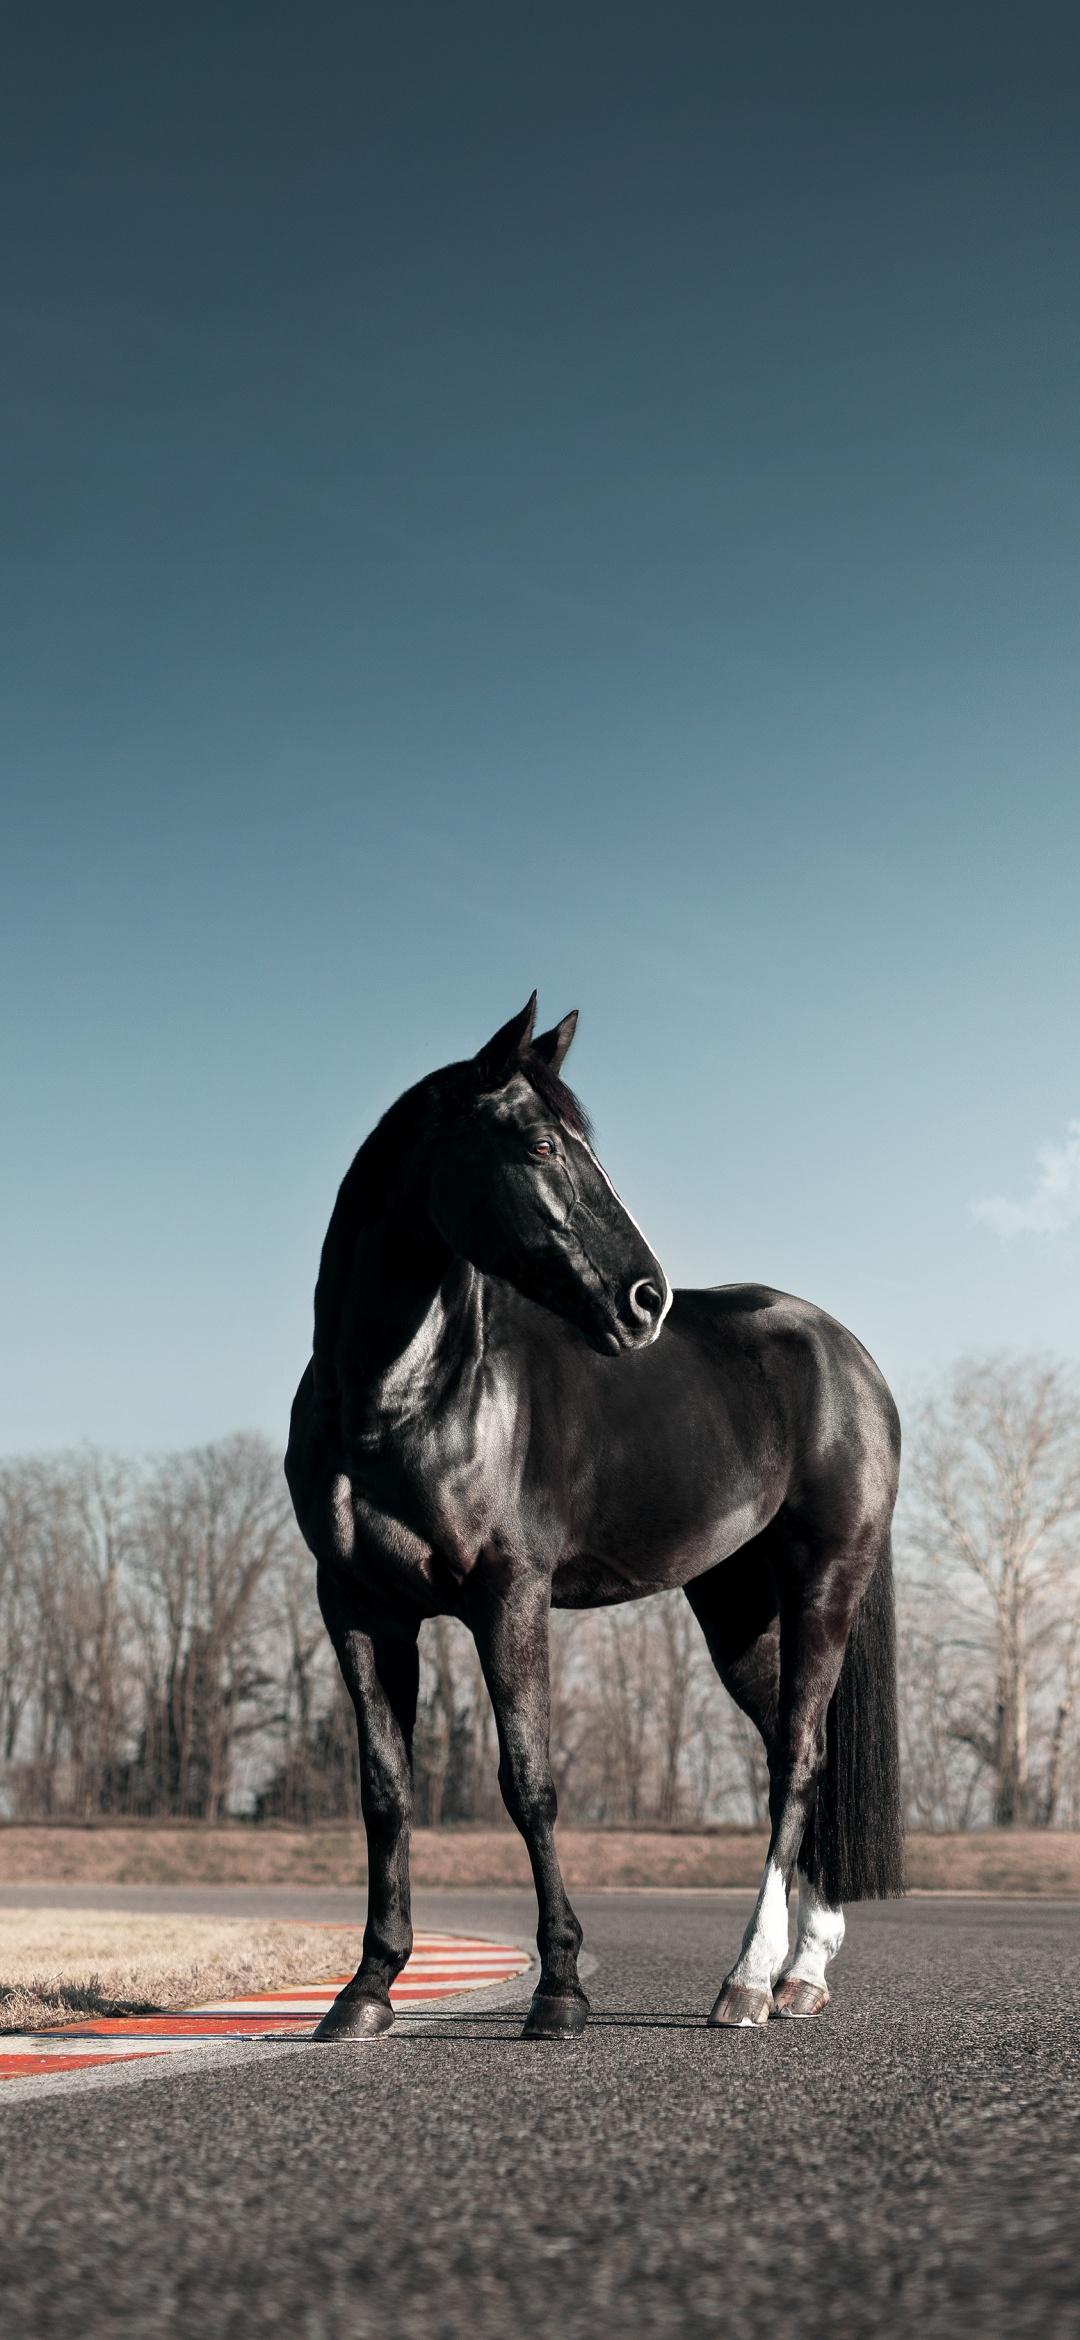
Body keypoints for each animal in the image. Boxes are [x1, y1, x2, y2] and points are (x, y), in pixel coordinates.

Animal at [285, 994, 903, 2041]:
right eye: (539, 1144)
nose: (645, 1299)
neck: (399, 1400)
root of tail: (848, 1353)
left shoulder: (509, 1596)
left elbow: (528, 1785)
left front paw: (561, 1989)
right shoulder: (359, 1608)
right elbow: (385, 1791)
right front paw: (365, 1991)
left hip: (826, 1580)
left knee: (797, 1759)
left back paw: (747, 1981)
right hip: (736, 1607)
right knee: (798, 1748)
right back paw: (802, 1973)